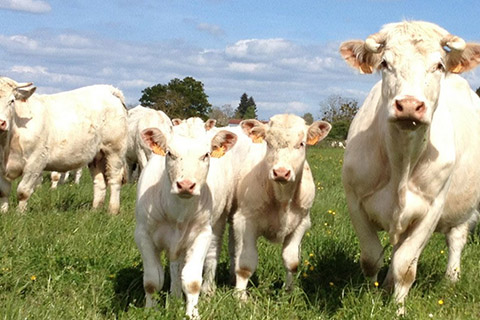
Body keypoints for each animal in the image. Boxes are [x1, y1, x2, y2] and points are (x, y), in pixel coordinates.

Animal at [0, 76, 127, 214]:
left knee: (114, 179)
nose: (1, 123)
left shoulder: (36, 162)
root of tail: (109, 90)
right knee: (99, 182)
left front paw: (20, 214)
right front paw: (4, 212)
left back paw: (112, 210)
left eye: (12, 101)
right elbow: (3, 191)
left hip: (114, 151)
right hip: (96, 156)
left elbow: (23, 191)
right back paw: (95, 210)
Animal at [134, 119, 237, 318]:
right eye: (170, 153)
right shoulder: (143, 235)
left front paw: (193, 313)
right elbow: (152, 279)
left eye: (206, 155)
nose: (186, 185)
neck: (177, 211)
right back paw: (174, 295)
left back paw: (208, 292)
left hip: (217, 224)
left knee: (209, 258)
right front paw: (150, 310)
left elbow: (192, 281)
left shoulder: (202, 235)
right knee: (176, 266)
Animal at [232, 114, 330, 298]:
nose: (281, 172)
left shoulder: (302, 223)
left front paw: (288, 293)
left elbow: (291, 261)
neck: (283, 199)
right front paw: (240, 297)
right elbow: (245, 263)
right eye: (269, 143)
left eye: (301, 143)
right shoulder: (244, 221)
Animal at [340, 20, 480, 312]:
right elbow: (371, 257)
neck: (401, 163)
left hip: (465, 207)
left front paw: (398, 308)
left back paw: (451, 280)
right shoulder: (354, 201)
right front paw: (371, 296)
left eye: (438, 65)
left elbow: (406, 266)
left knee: (456, 239)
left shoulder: (432, 209)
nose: (409, 105)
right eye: (385, 63)